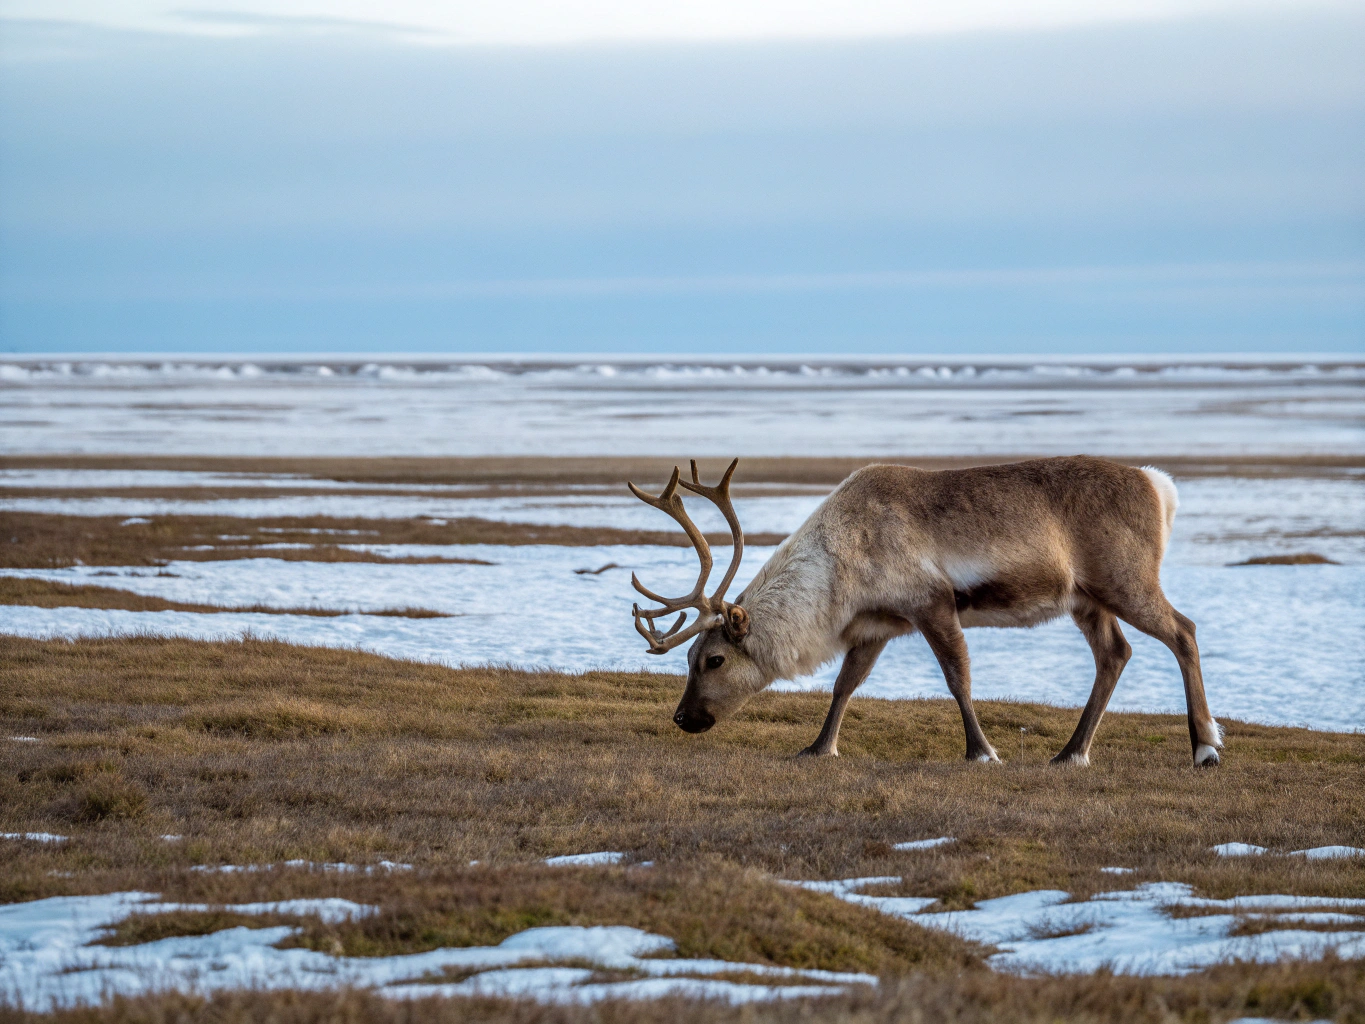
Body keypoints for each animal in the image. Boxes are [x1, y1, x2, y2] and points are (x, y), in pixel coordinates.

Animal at [628, 456, 1222, 768]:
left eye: (714, 660)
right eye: (691, 658)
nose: (682, 717)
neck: (837, 568)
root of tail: (1159, 485)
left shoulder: (931, 604)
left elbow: (958, 678)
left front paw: (982, 751)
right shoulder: (875, 626)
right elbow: (844, 685)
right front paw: (820, 747)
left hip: (1125, 581)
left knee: (1184, 631)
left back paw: (1204, 747)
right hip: (1085, 599)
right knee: (1115, 654)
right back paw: (1071, 753)